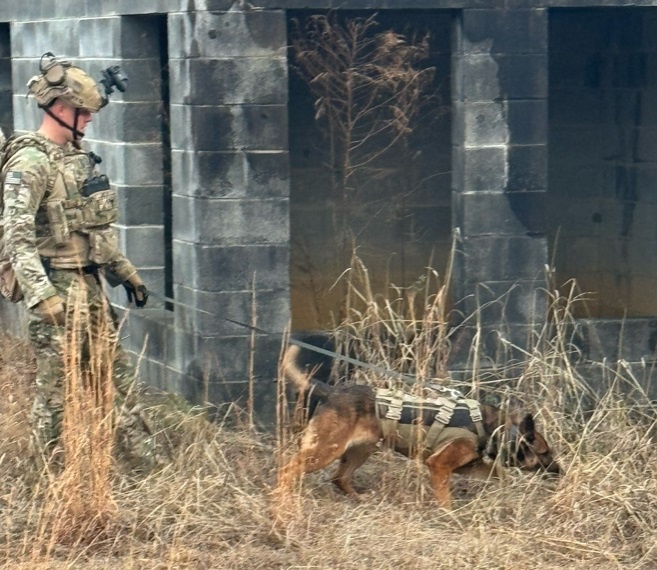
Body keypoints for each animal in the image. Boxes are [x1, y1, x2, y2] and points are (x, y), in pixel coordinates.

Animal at [276, 340, 560, 508]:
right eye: (545, 453)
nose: (561, 472)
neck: (497, 430)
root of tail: (332, 391)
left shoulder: (469, 466)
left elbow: (498, 474)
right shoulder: (439, 465)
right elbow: (445, 498)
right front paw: (450, 515)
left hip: (361, 450)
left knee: (339, 477)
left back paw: (358, 498)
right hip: (325, 451)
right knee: (289, 469)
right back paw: (283, 500)